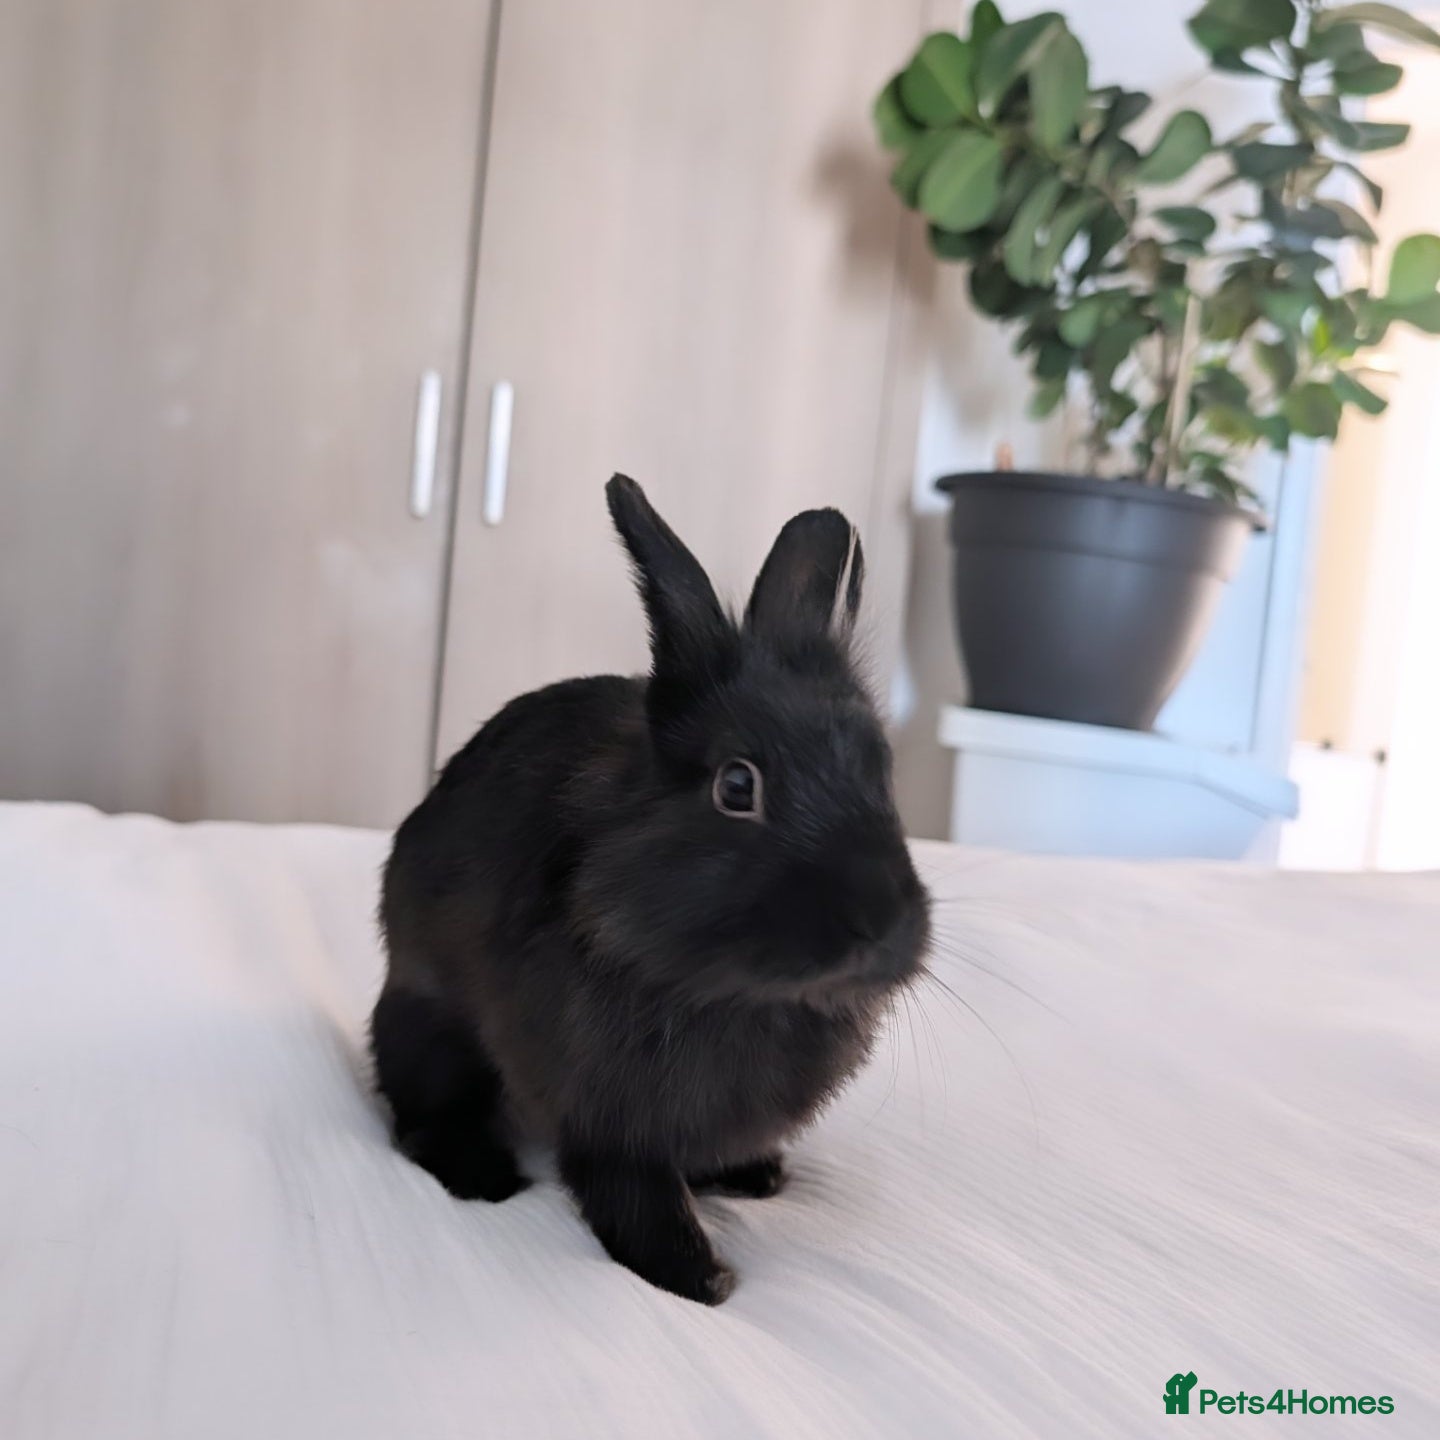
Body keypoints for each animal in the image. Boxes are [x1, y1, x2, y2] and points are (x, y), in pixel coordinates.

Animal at [371, 474, 930, 1305]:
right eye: (737, 785)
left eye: (884, 773)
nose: (882, 925)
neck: (739, 994)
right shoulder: (608, 1117)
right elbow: (631, 1192)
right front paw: (699, 1276)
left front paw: (753, 1177)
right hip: (427, 1026)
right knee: (416, 1114)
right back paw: (484, 1177)